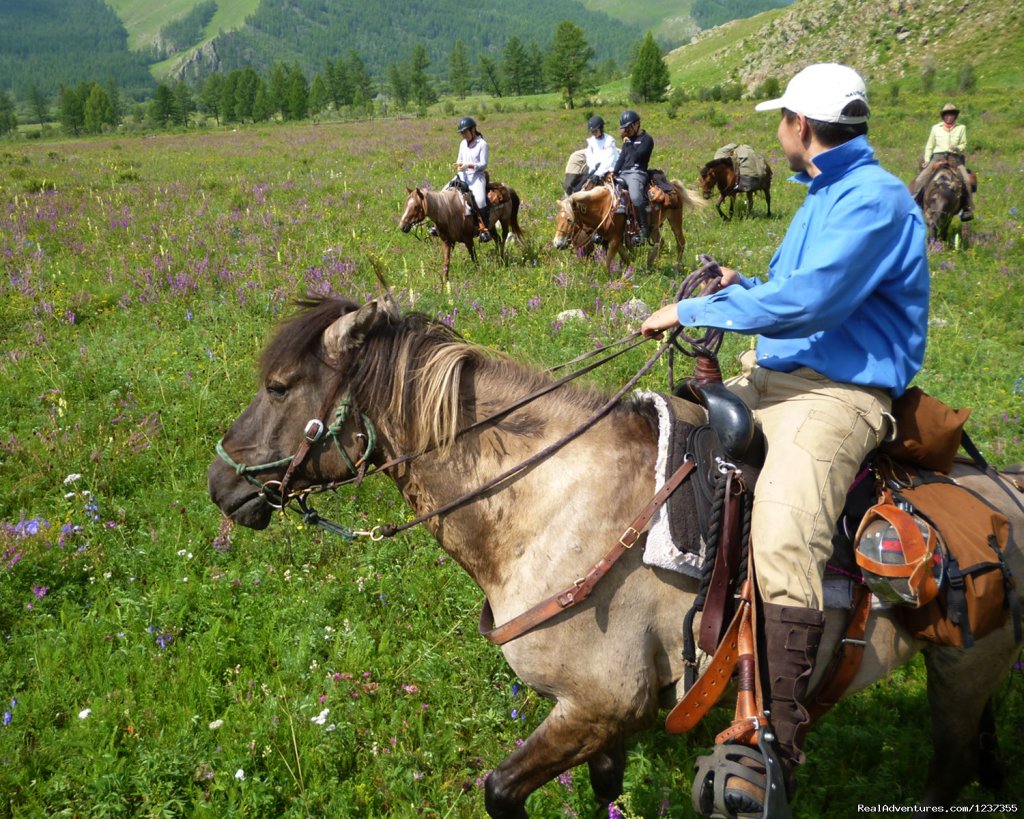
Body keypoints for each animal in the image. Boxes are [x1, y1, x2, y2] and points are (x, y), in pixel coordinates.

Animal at [209, 296, 1024, 814]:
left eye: (279, 385)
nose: (221, 484)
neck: (551, 501)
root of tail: (1008, 494)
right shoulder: (612, 716)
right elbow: (605, 784)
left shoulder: (599, 702)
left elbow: (500, 790)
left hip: (960, 674)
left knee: (947, 771)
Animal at [552, 181, 704, 274]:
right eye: (557, 219)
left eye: (569, 220)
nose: (557, 243)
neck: (604, 208)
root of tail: (672, 185)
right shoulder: (615, 239)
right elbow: (626, 257)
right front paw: (633, 270)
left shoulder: (615, 238)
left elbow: (608, 261)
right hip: (654, 227)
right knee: (659, 243)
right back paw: (652, 264)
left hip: (675, 220)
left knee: (680, 243)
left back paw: (677, 267)